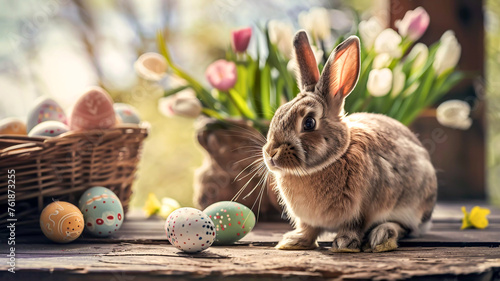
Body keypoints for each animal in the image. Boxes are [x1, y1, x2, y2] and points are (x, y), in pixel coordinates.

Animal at [262, 30, 438, 252]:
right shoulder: (308, 220)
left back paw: (382, 237)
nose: (271, 153)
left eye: (309, 123)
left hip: (413, 206)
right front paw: (293, 241)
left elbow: (355, 226)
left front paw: (344, 244)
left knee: (404, 227)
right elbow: (309, 230)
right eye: (278, 113)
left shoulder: (363, 210)